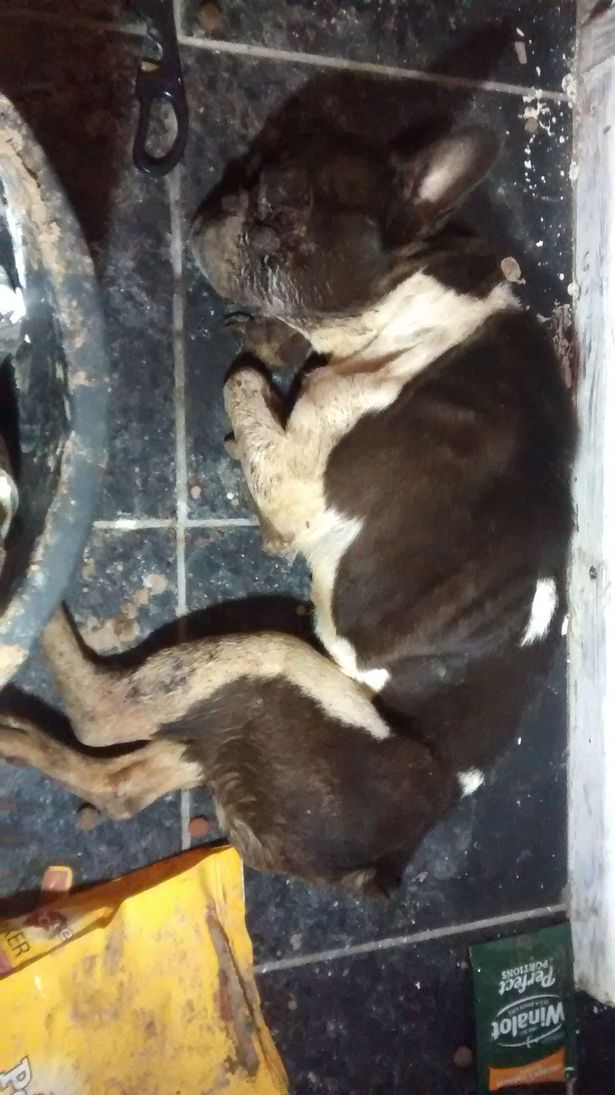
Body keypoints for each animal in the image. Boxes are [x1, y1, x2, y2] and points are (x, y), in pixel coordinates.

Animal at [0, 126, 573, 895]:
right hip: (249, 723)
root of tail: (384, 857)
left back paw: (38, 576)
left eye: (283, 209)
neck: (428, 304)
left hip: (271, 671)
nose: (216, 209)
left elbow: (240, 384)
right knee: (125, 778)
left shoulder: (303, 475)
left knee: (104, 712)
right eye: (255, 178)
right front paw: (275, 346)